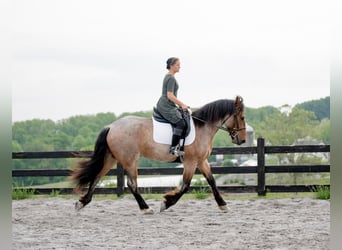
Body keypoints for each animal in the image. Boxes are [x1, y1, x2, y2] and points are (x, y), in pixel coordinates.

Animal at [70, 95, 246, 213]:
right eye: (242, 117)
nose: (242, 140)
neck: (202, 127)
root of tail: (111, 126)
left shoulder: (202, 161)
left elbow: (212, 181)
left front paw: (223, 204)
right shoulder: (190, 162)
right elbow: (185, 185)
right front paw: (166, 203)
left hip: (111, 158)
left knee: (97, 177)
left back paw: (82, 202)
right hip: (130, 160)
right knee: (131, 184)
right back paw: (145, 208)